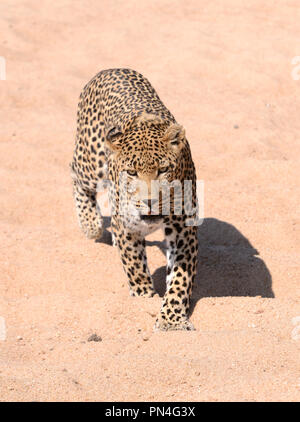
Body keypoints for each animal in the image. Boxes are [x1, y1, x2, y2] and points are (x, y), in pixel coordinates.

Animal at [69, 68, 198, 330]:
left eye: (163, 169)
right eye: (131, 172)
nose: (150, 201)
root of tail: (110, 69)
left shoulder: (184, 230)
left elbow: (180, 278)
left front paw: (171, 319)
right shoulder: (126, 225)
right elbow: (134, 264)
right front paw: (143, 297)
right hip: (91, 161)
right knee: (75, 173)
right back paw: (90, 225)